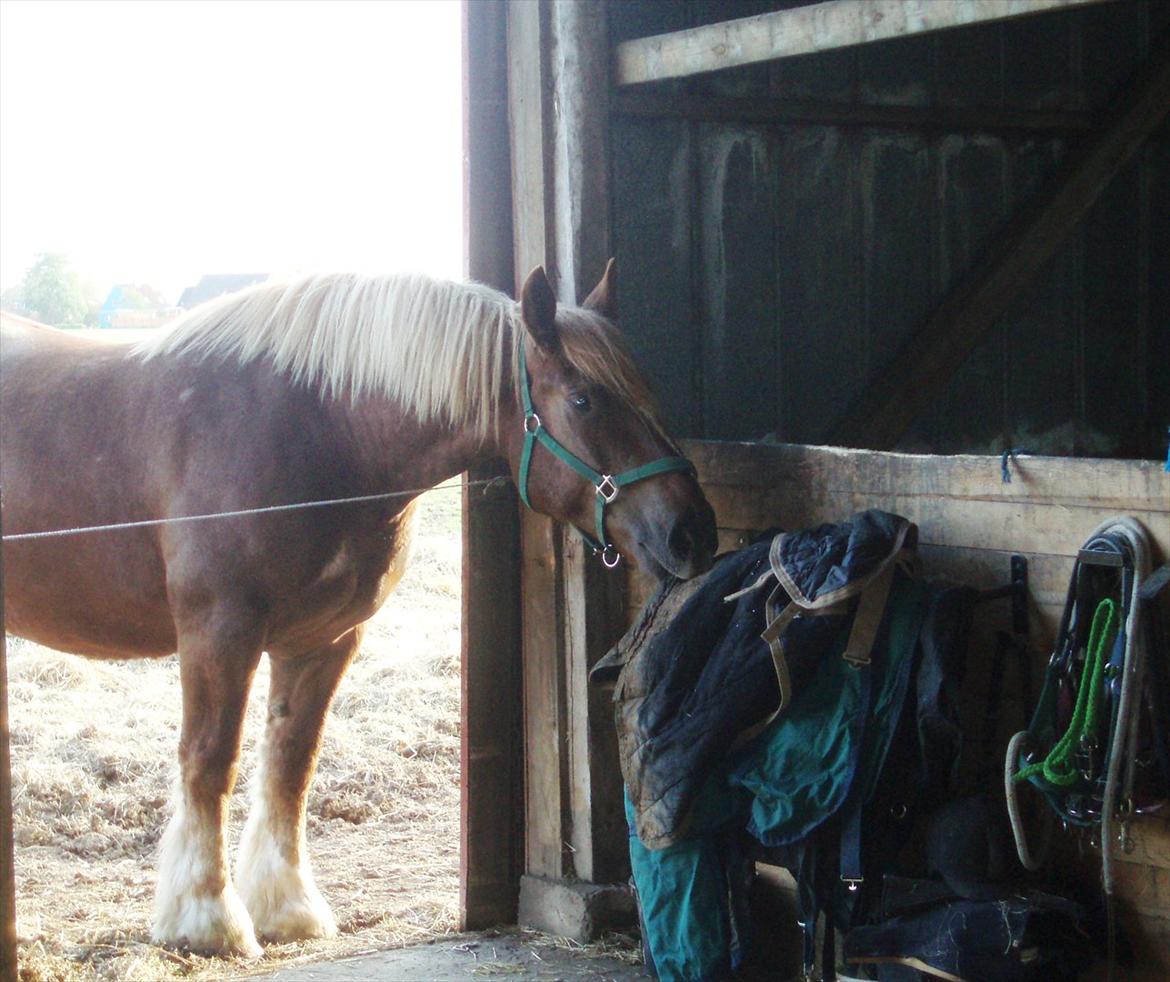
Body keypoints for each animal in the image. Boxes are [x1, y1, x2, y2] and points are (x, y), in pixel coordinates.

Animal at [0, 263, 716, 959]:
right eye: (583, 399)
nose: (693, 532)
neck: (318, 430)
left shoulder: (325, 639)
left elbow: (292, 764)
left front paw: (288, 910)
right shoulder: (218, 632)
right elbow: (210, 761)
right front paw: (207, 920)